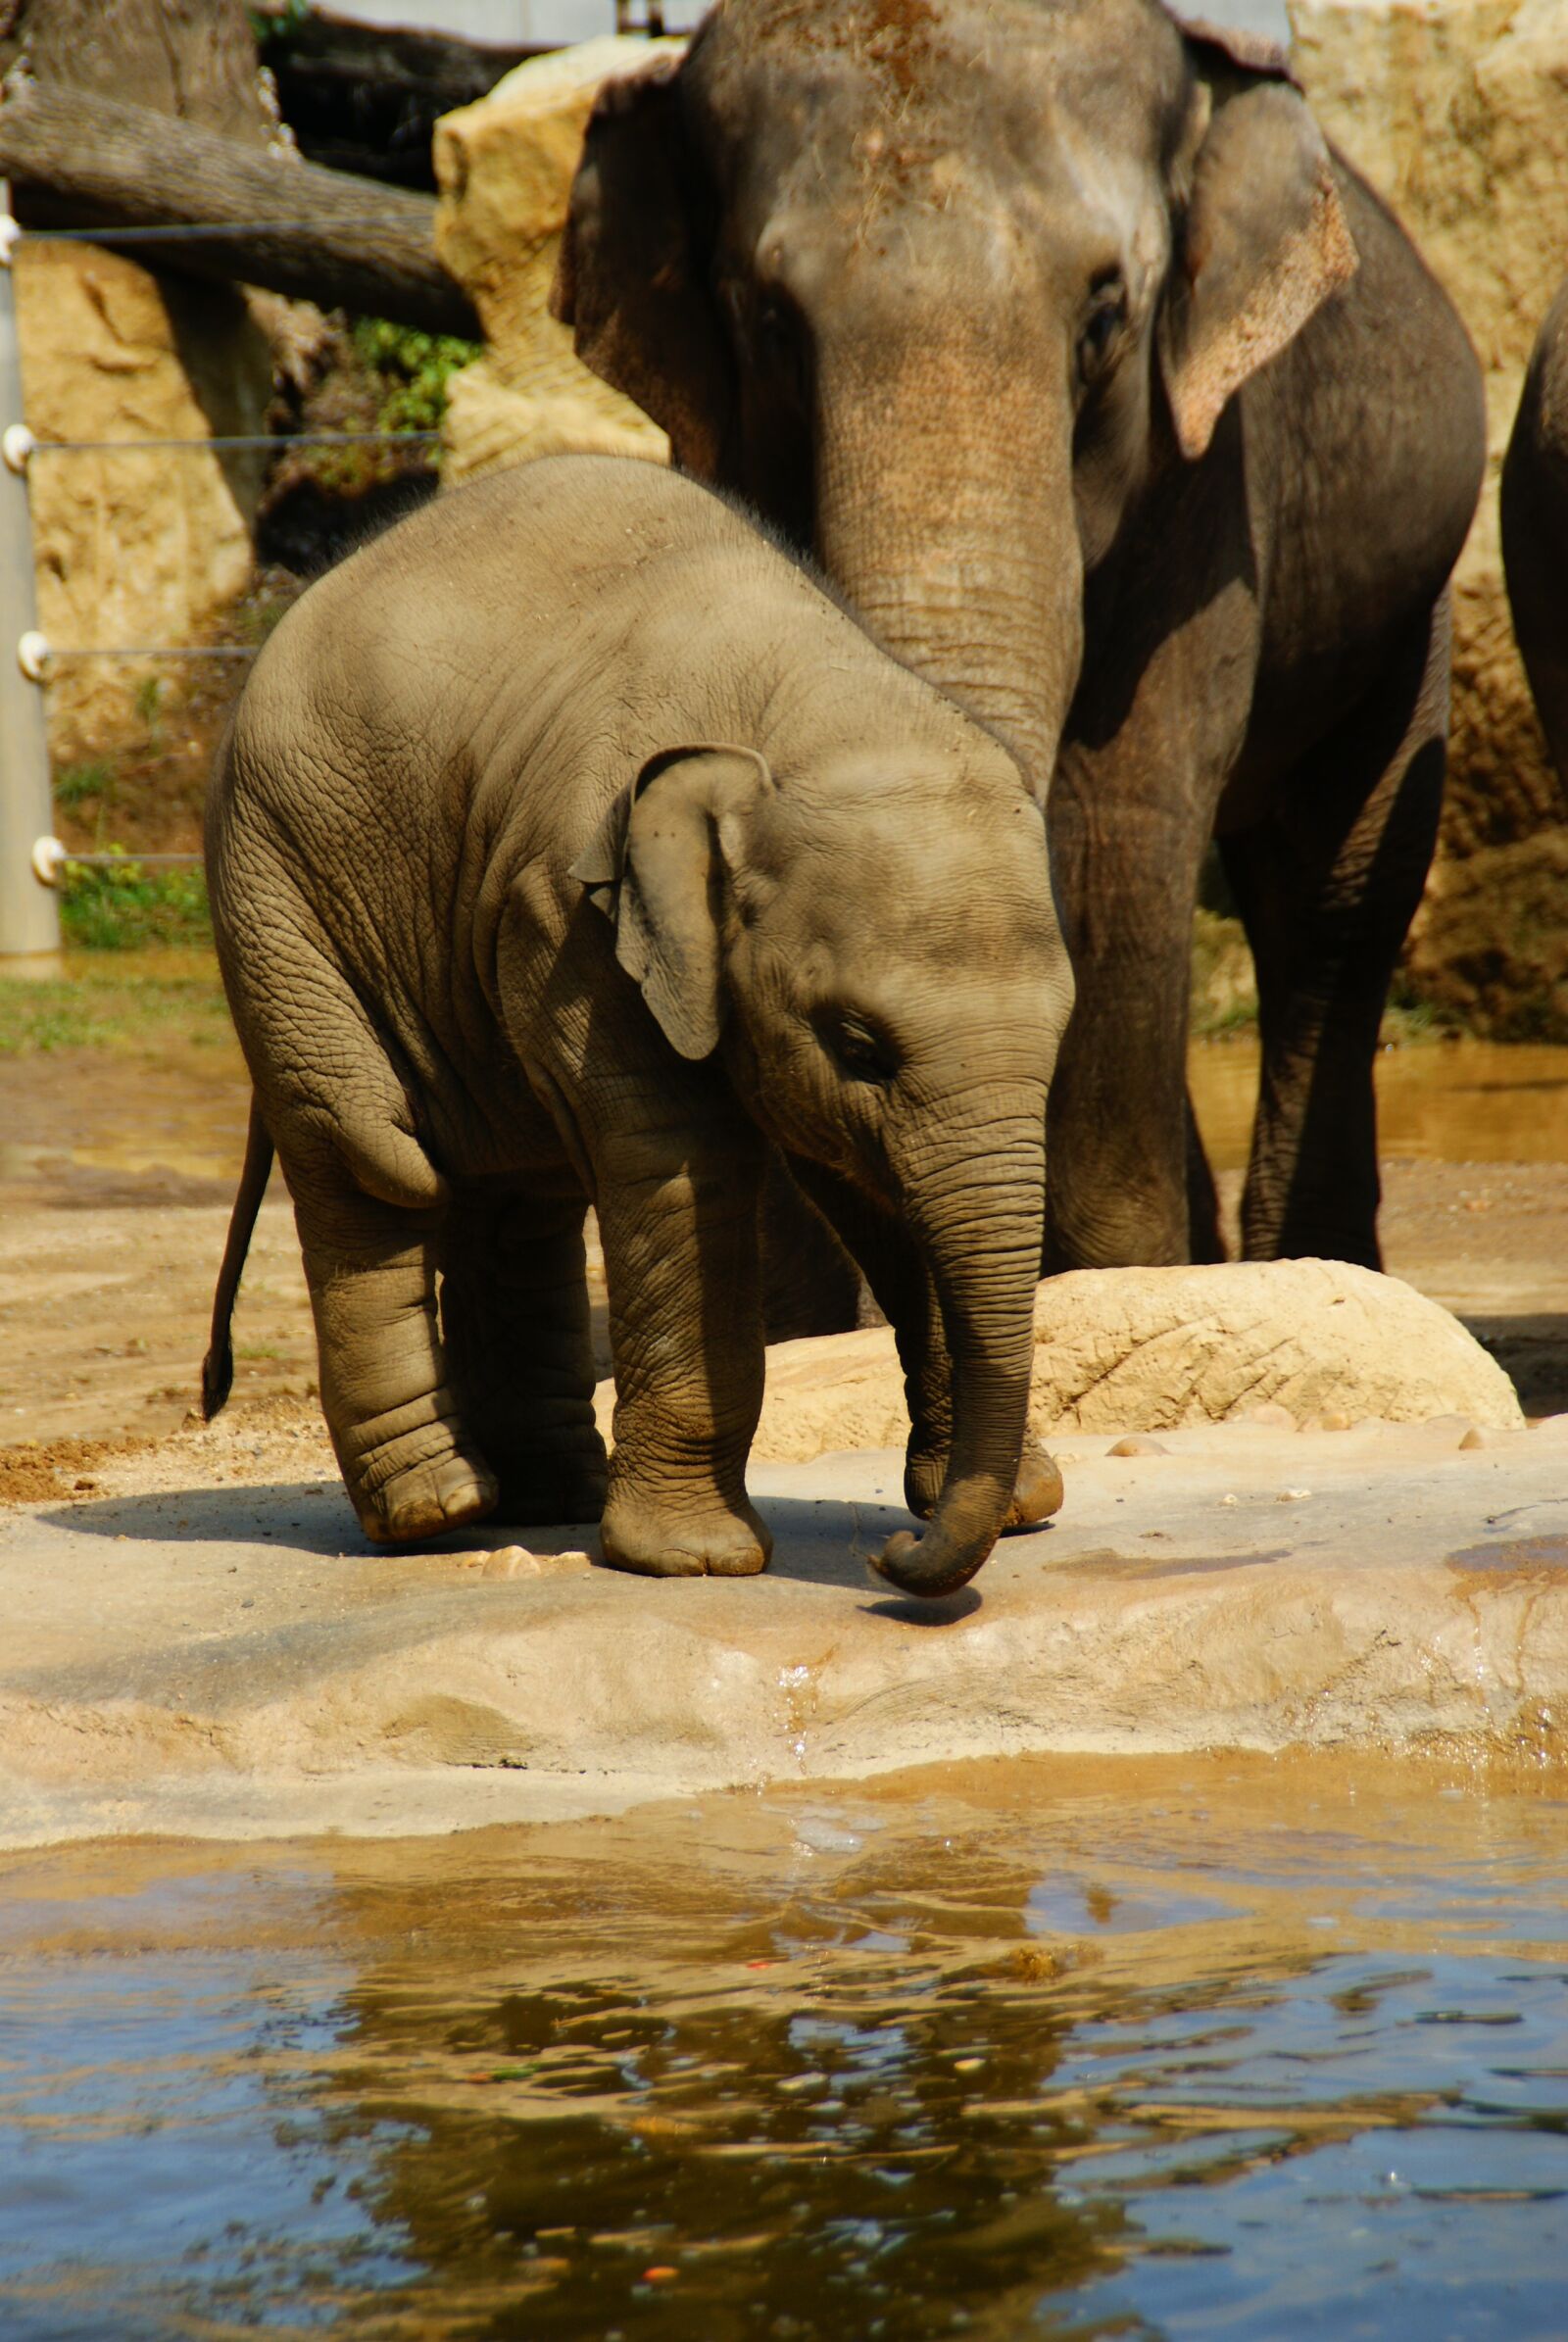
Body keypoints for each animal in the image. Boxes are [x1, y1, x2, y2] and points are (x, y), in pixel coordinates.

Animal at [202, 454, 1073, 1600]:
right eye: (859, 1045)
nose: (889, 1555)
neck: (802, 710)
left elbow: (876, 1187)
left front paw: (1016, 1510)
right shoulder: (571, 916)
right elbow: (681, 1165)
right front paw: (698, 1562)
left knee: (516, 1194)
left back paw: (548, 1500)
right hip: (275, 888)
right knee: (366, 1154)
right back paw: (437, 1509)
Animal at [553, 0, 1487, 1273]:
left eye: (1104, 310)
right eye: (768, 319)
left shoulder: (1208, 487)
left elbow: (1118, 821)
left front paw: (1118, 1276)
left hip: (1404, 596)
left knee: (1336, 887)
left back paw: (1311, 1263)